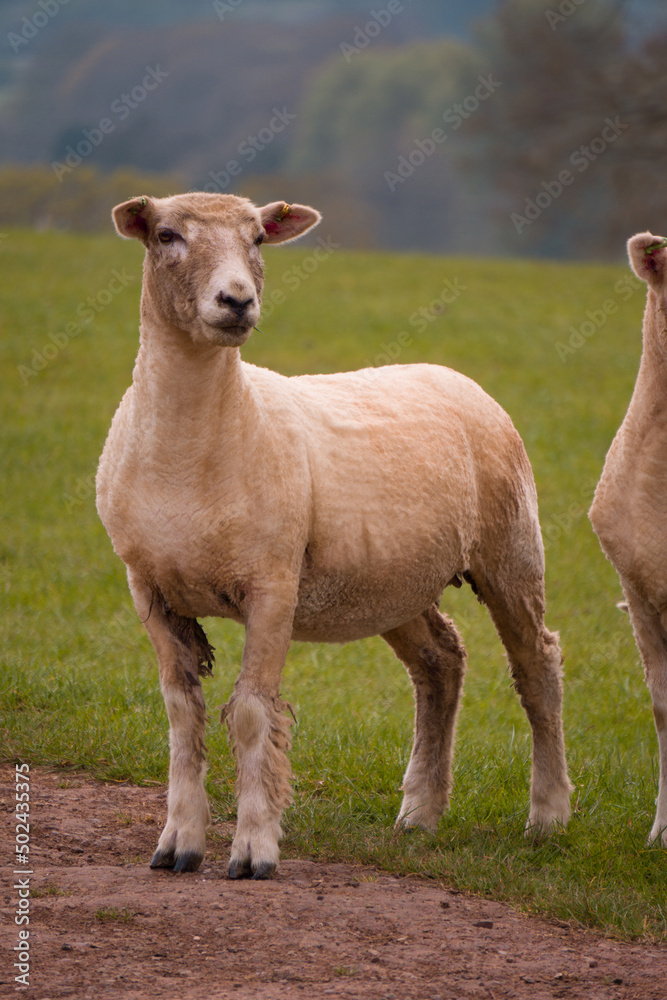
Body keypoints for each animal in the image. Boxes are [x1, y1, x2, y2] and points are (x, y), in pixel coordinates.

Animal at [96, 191, 572, 879]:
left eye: (258, 239)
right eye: (166, 236)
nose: (236, 300)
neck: (193, 452)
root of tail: (453, 375)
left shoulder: (272, 584)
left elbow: (251, 715)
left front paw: (254, 850)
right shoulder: (148, 587)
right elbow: (182, 714)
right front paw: (178, 843)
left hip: (510, 546)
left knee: (537, 666)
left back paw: (548, 817)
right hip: (395, 582)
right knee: (441, 661)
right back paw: (420, 813)